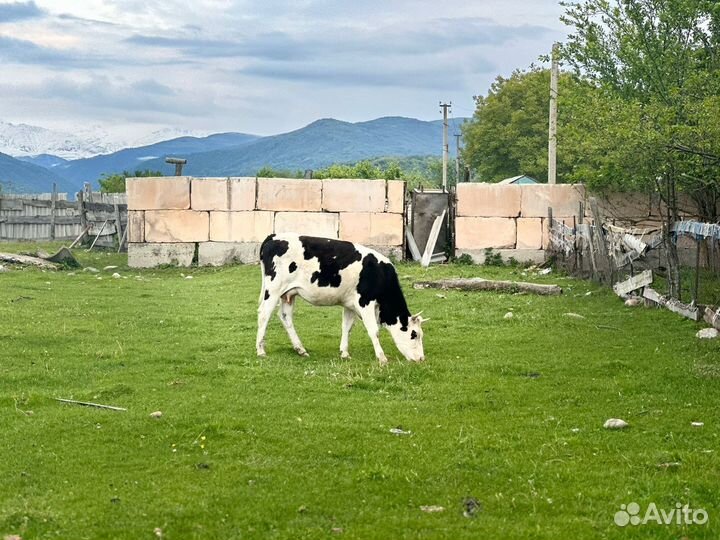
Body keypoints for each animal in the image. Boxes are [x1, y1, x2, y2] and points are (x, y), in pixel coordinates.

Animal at [256, 233, 427, 365]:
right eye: (414, 334)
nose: (421, 359)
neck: (381, 275)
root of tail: (274, 237)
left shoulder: (350, 304)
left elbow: (347, 327)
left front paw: (344, 353)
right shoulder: (365, 302)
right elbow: (374, 331)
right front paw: (382, 357)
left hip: (288, 294)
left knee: (285, 316)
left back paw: (300, 349)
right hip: (273, 289)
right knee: (264, 314)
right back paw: (260, 350)